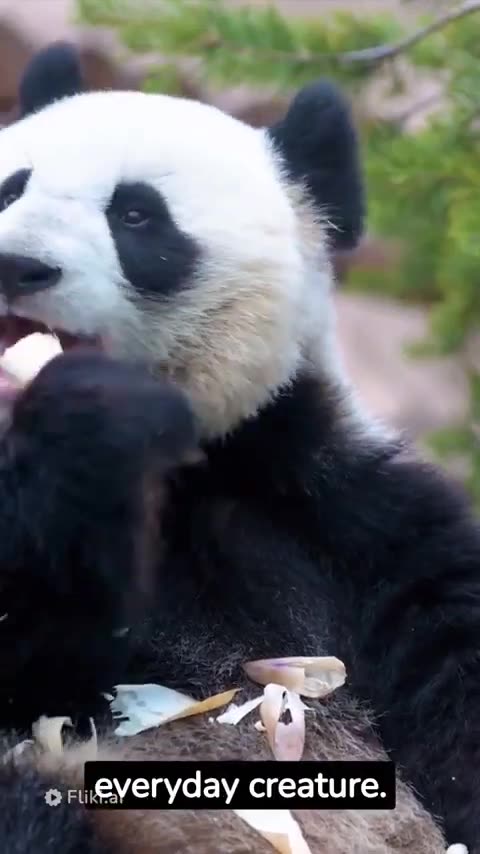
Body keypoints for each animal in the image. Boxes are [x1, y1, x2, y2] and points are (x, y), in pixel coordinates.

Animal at [0, 40, 476, 854]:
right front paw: (87, 422)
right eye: (11, 187)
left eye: (136, 215)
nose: (15, 263)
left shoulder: (343, 518)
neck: (184, 467)